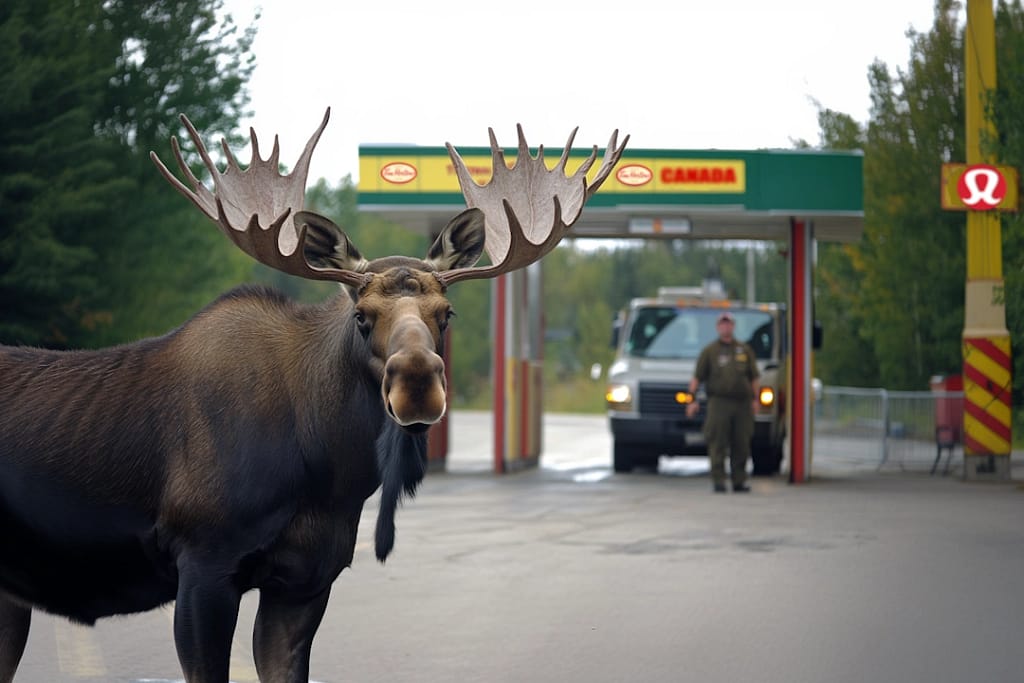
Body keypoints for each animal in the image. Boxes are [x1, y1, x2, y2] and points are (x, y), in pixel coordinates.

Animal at [0, 108, 627, 683]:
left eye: (446, 313)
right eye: (361, 316)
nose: (417, 383)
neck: (328, 470)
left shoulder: (308, 578)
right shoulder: (202, 561)